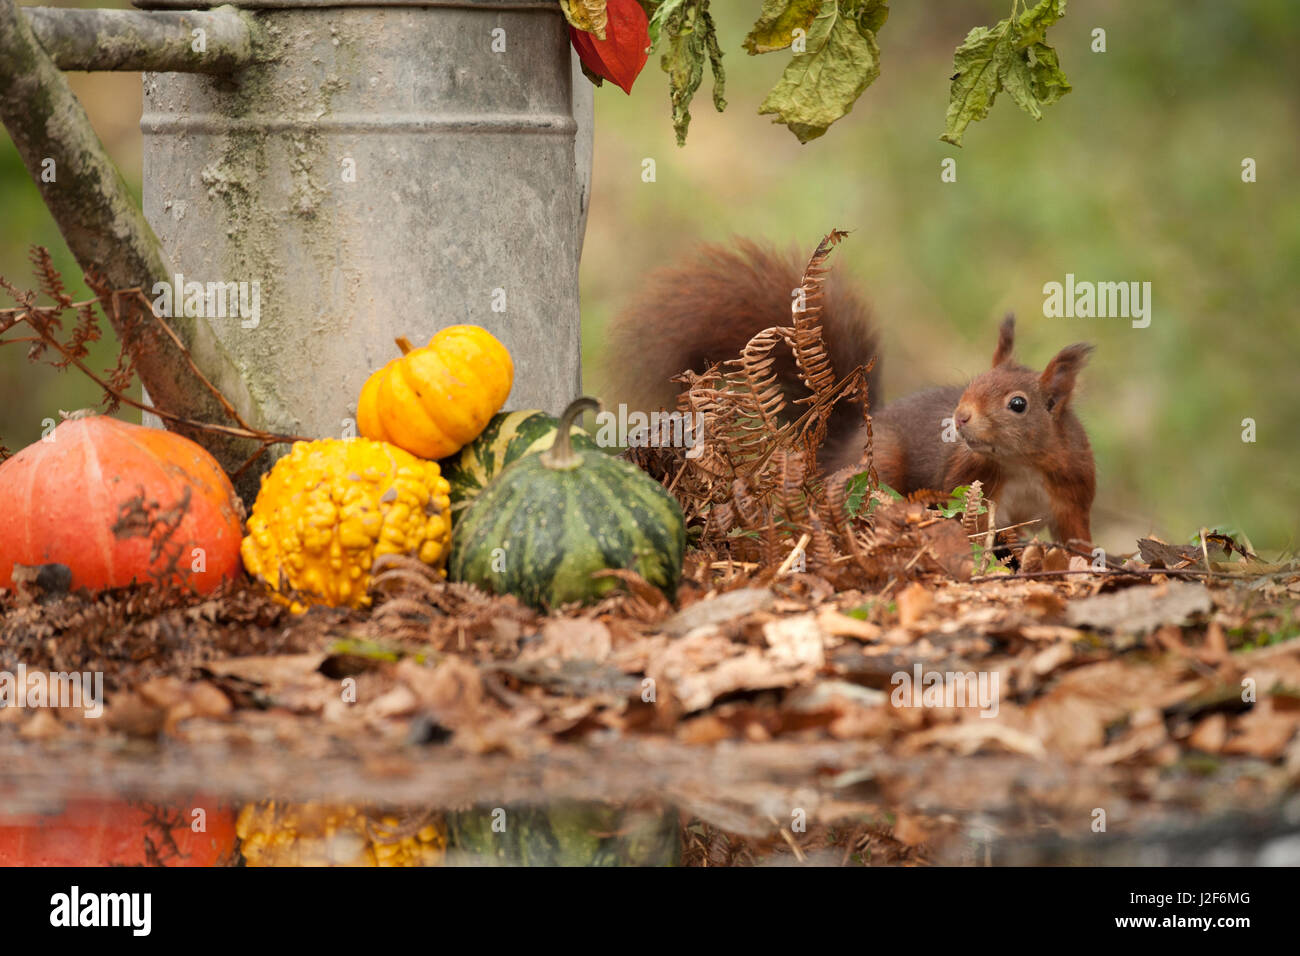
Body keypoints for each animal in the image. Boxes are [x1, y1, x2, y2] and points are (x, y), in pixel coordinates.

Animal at [607, 239, 1096, 547]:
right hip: (882, 462)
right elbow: (976, 524)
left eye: (1018, 404)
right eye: (971, 385)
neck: (1021, 465)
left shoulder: (1071, 494)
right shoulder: (970, 484)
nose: (960, 417)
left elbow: (1075, 537)